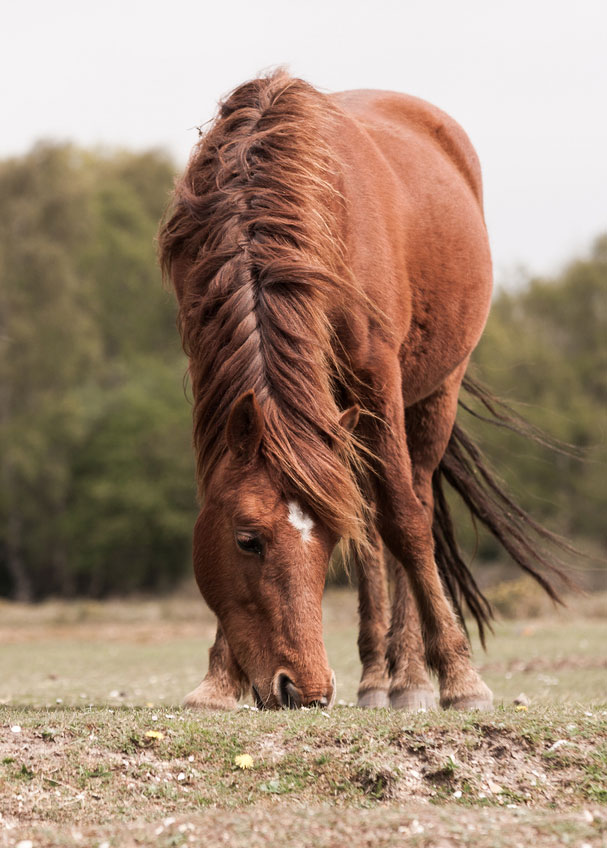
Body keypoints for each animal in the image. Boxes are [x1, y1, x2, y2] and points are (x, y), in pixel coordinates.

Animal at [159, 70, 568, 711]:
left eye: (327, 542)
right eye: (247, 540)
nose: (304, 688)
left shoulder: (378, 376)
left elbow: (405, 522)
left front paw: (461, 678)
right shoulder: (209, 365)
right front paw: (218, 681)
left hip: (432, 396)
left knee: (411, 505)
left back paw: (410, 678)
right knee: (373, 520)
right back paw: (377, 675)